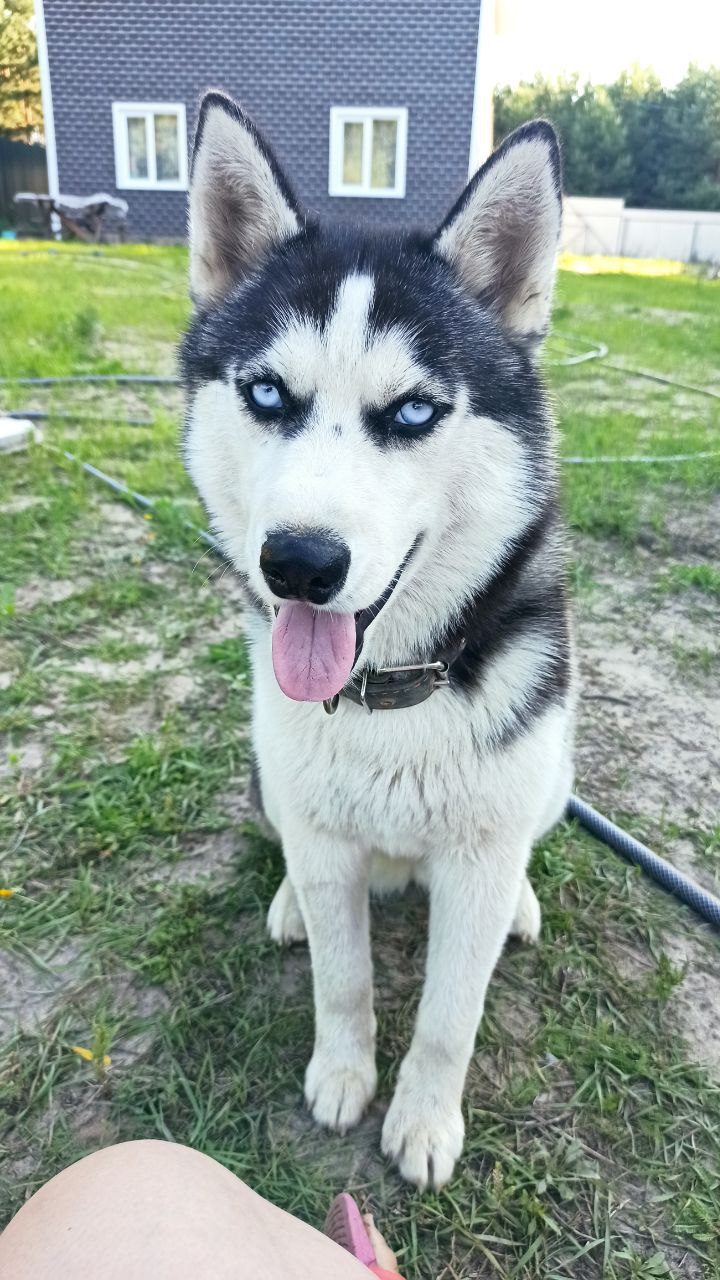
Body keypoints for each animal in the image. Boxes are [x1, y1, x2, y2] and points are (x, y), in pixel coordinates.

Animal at [181, 91, 575, 1189]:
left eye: (412, 411)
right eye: (268, 394)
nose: (299, 562)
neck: (392, 686)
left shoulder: (479, 855)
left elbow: (450, 1014)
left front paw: (425, 1121)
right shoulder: (321, 835)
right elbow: (342, 976)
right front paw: (342, 1075)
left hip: (555, 777)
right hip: (268, 779)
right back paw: (286, 904)